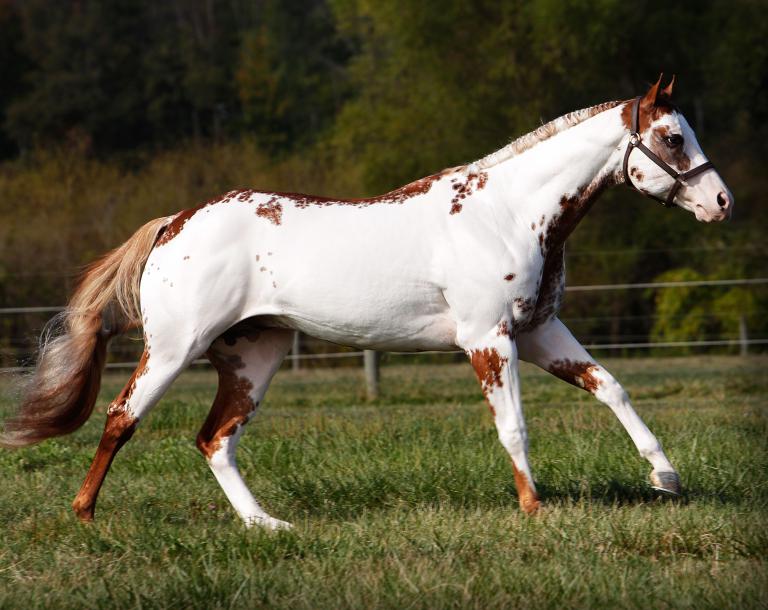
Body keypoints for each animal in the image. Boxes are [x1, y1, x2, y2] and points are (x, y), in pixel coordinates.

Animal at [1, 76, 733, 529]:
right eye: (672, 138)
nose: (721, 202)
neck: (506, 213)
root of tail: (175, 223)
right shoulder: (488, 339)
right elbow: (514, 426)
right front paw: (534, 509)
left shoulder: (538, 331)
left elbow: (612, 387)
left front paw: (665, 477)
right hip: (176, 347)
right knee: (122, 418)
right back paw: (85, 514)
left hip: (252, 356)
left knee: (215, 440)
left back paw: (267, 525)